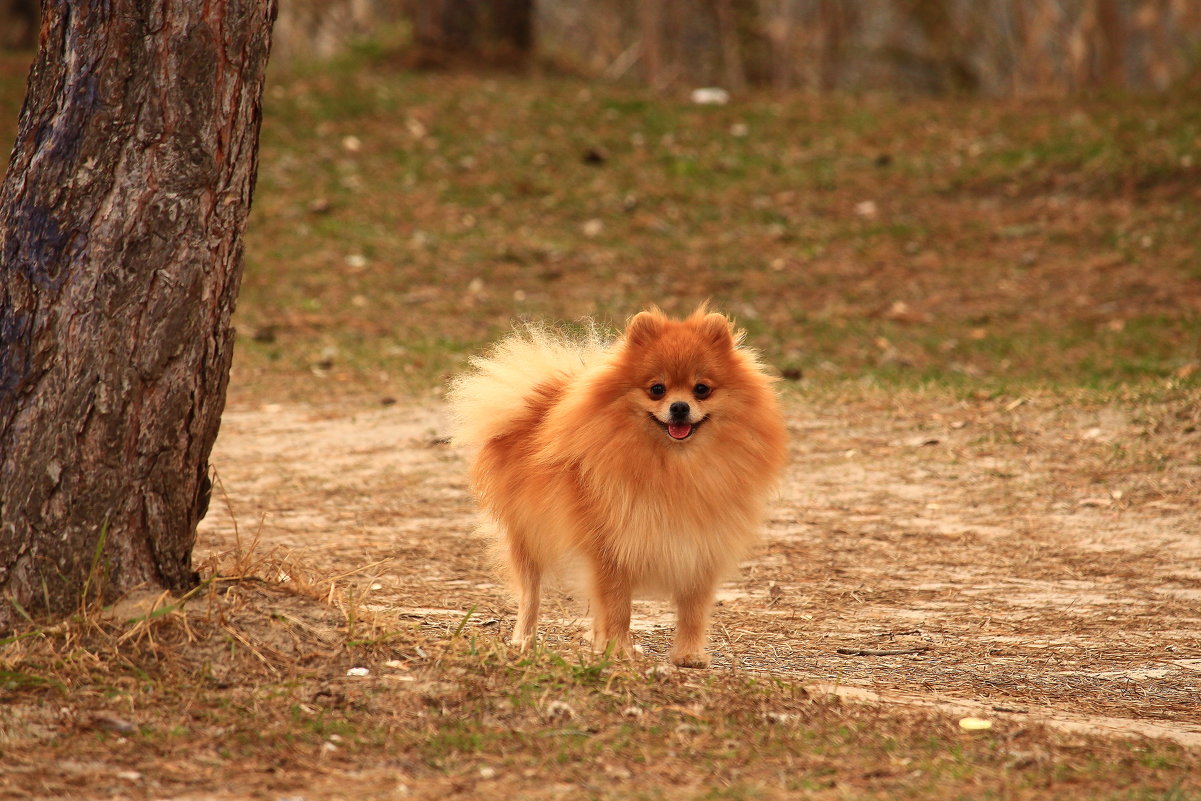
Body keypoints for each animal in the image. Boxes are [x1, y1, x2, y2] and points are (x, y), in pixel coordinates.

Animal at [451, 303, 787, 667]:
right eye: (657, 389)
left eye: (701, 389)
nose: (679, 407)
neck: (676, 468)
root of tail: (535, 402)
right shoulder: (609, 547)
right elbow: (617, 607)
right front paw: (619, 649)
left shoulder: (700, 548)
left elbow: (692, 610)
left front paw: (688, 654)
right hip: (528, 537)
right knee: (531, 595)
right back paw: (524, 640)